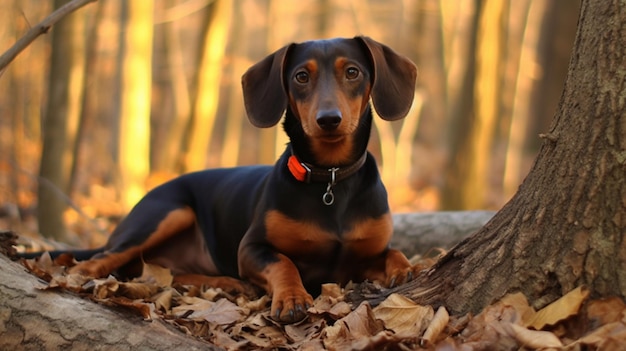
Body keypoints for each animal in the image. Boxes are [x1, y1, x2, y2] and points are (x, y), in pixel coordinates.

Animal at [34, 36, 416, 324]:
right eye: (300, 77)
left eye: (352, 72)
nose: (328, 120)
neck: (330, 180)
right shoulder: (250, 249)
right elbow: (284, 262)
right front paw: (292, 297)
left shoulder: (364, 255)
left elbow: (393, 251)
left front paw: (403, 270)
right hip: (167, 213)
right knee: (101, 260)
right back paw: (78, 277)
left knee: (162, 271)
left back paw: (227, 283)